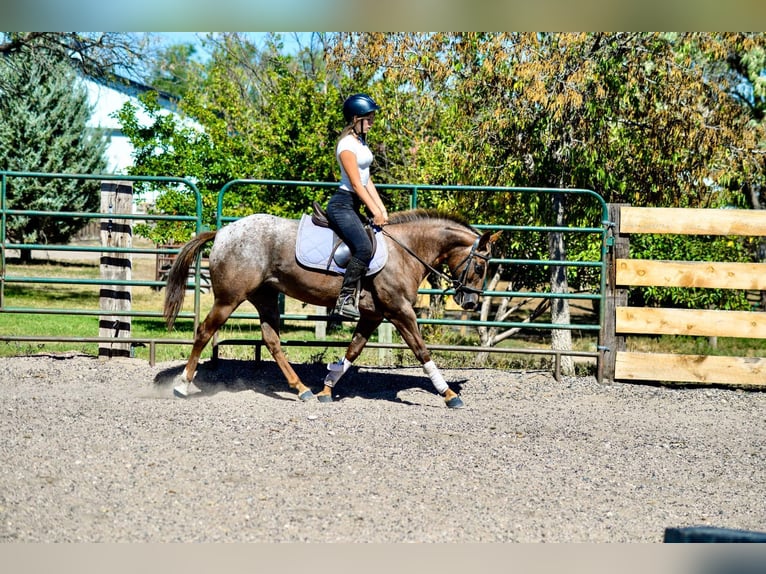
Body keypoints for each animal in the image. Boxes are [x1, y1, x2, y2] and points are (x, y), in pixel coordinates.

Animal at [164, 209, 500, 412]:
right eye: (480, 267)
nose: (470, 302)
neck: (404, 250)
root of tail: (222, 233)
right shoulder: (400, 311)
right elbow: (421, 351)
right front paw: (449, 394)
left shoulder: (373, 316)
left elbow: (353, 350)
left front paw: (327, 387)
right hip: (229, 298)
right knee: (204, 332)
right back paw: (182, 385)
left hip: (265, 297)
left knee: (272, 341)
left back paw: (302, 389)